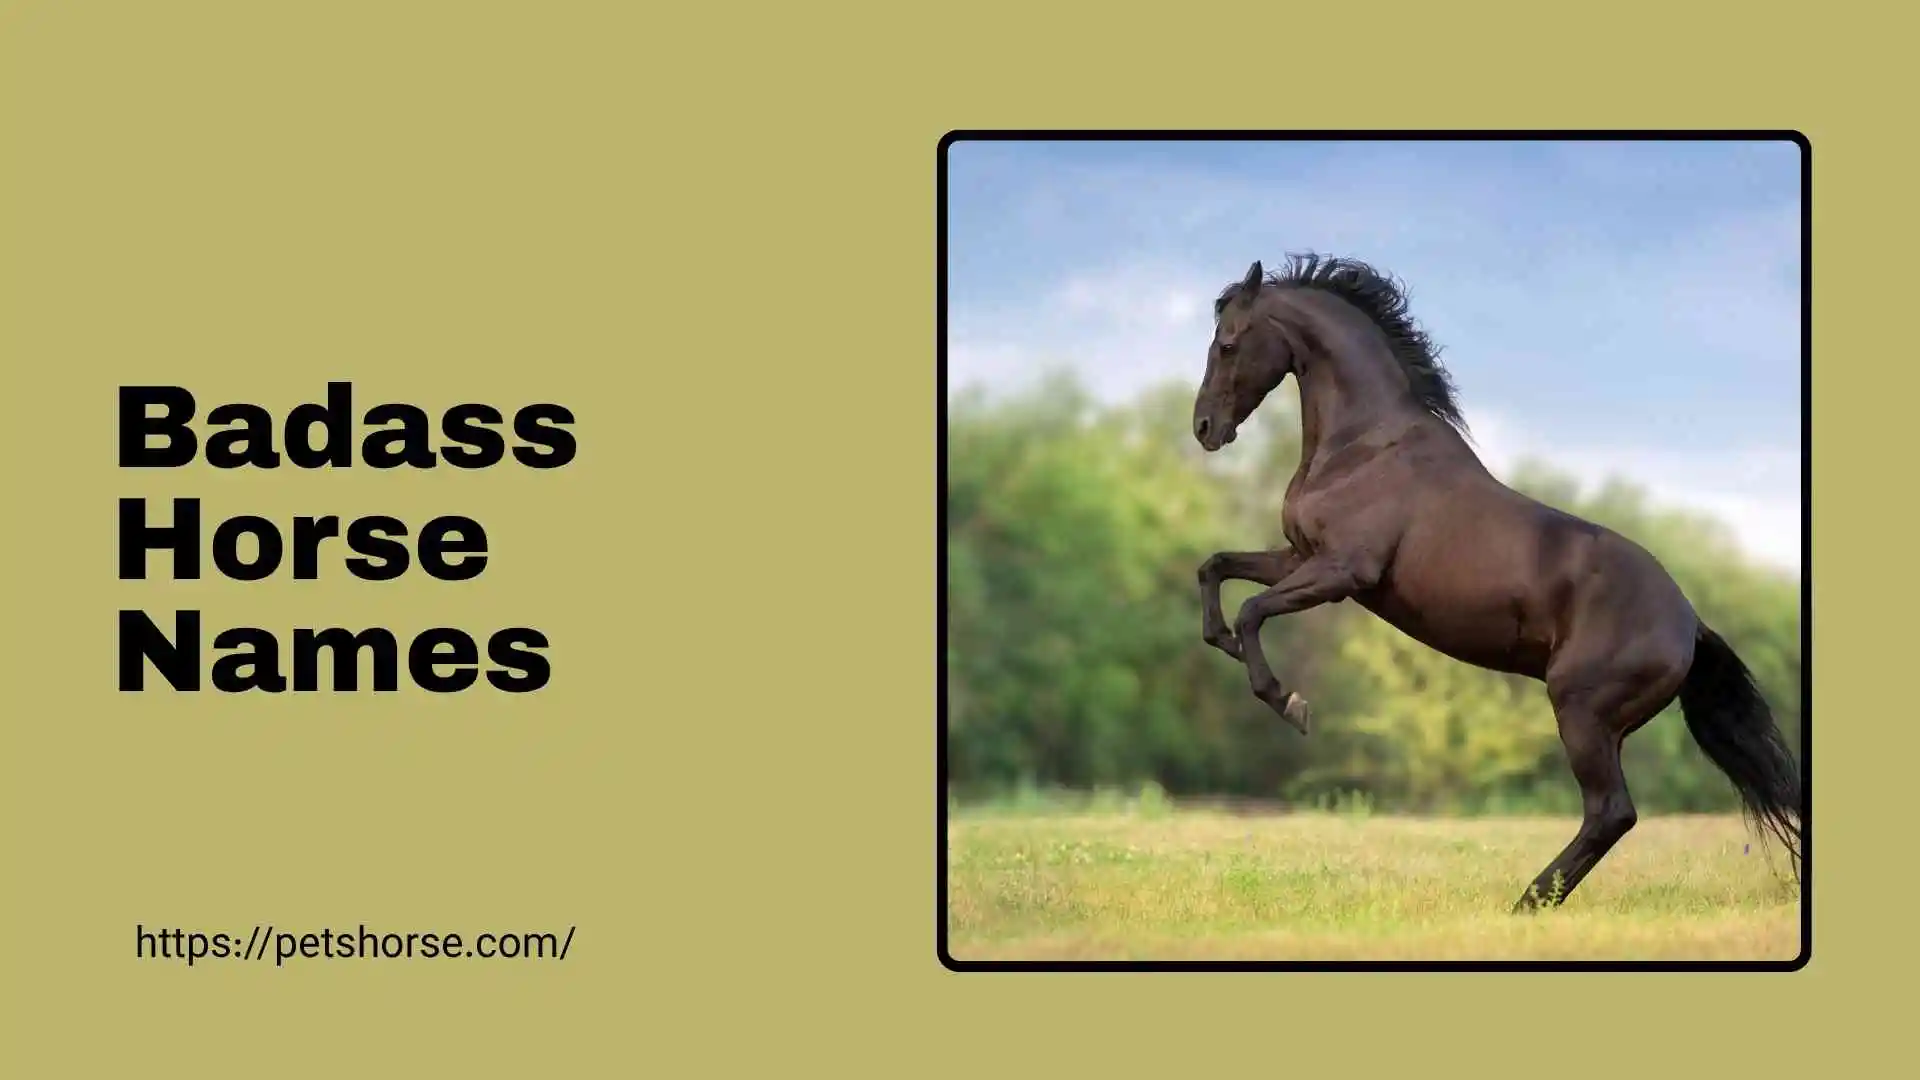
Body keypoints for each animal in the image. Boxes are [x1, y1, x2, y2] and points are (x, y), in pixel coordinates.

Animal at [1190, 254, 1802, 912]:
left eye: (1228, 344)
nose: (1204, 427)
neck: (1365, 447)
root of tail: (1689, 624)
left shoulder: (1341, 570)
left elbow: (1253, 610)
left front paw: (1289, 702)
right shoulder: (1298, 556)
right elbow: (1216, 569)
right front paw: (1223, 642)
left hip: (1581, 712)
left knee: (1611, 812)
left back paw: (1527, 903)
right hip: (1602, 725)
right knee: (1610, 815)